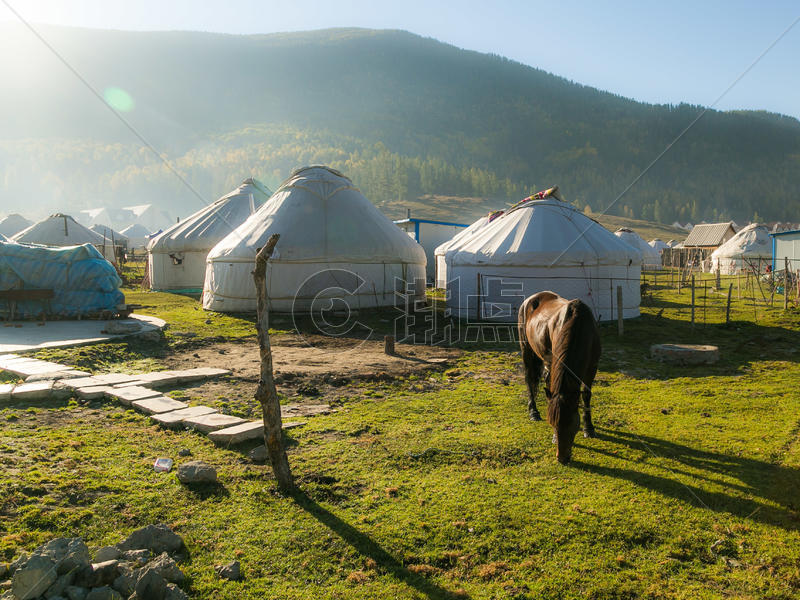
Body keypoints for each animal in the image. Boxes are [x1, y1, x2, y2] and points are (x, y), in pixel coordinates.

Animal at [520, 290, 600, 464]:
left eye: (572, 424)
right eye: (553, 423)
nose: (562, 458)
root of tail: (532, 298)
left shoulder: (592, 367)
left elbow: (586, 394)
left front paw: (589, 428)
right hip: (526, 349)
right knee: (529, 380)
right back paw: (533, 412)